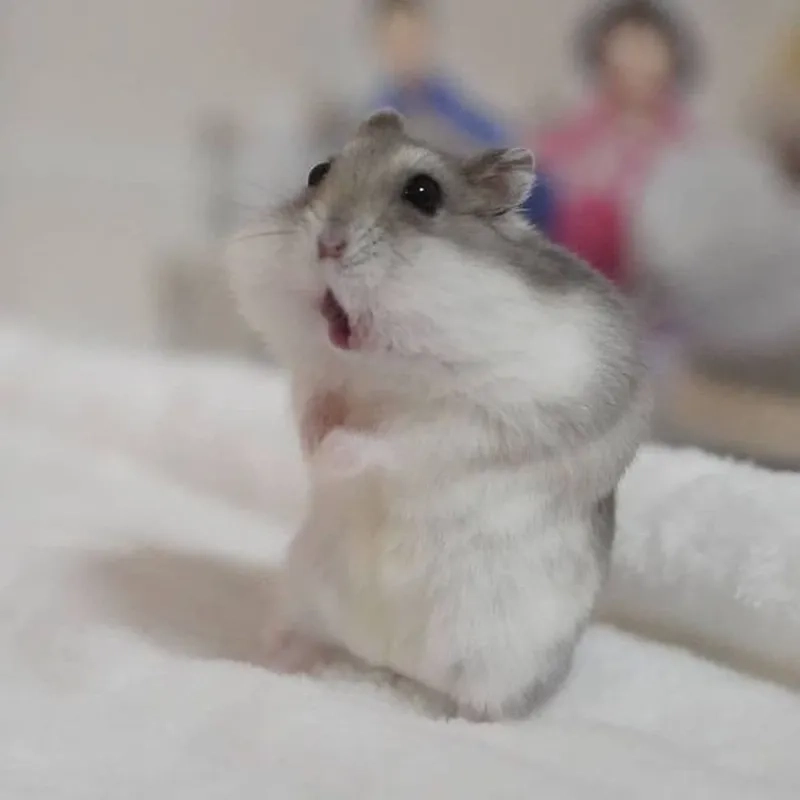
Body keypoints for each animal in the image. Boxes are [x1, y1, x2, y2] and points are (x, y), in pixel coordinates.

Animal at [228, 110, 648, 720]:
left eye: (423, 193)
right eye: (317, 172)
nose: (328, 244)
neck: (384, 367)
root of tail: (385, 659)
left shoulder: (483, 421)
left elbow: (399, 440)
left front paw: (332, 455)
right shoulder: (314, 376)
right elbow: (314, 402)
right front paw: (314, 446)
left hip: (504, 659)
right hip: (299, 593)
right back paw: (271, 661)